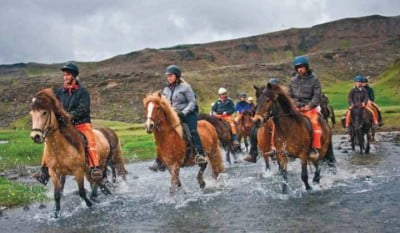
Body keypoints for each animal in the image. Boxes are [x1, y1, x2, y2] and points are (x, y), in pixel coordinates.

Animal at [29, 88, 126, 218]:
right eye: (31, 114)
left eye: (44, 112)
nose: (36, 136)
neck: (60, 148)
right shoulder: (54, 173)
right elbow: (57, 195)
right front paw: (57, 214)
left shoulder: (78, 171)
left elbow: (81, 192)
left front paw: (89, 205)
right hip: (89, 169)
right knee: (97, 181)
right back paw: (100, 193)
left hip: (101, 164)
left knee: (98, 179)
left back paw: (96, 196)